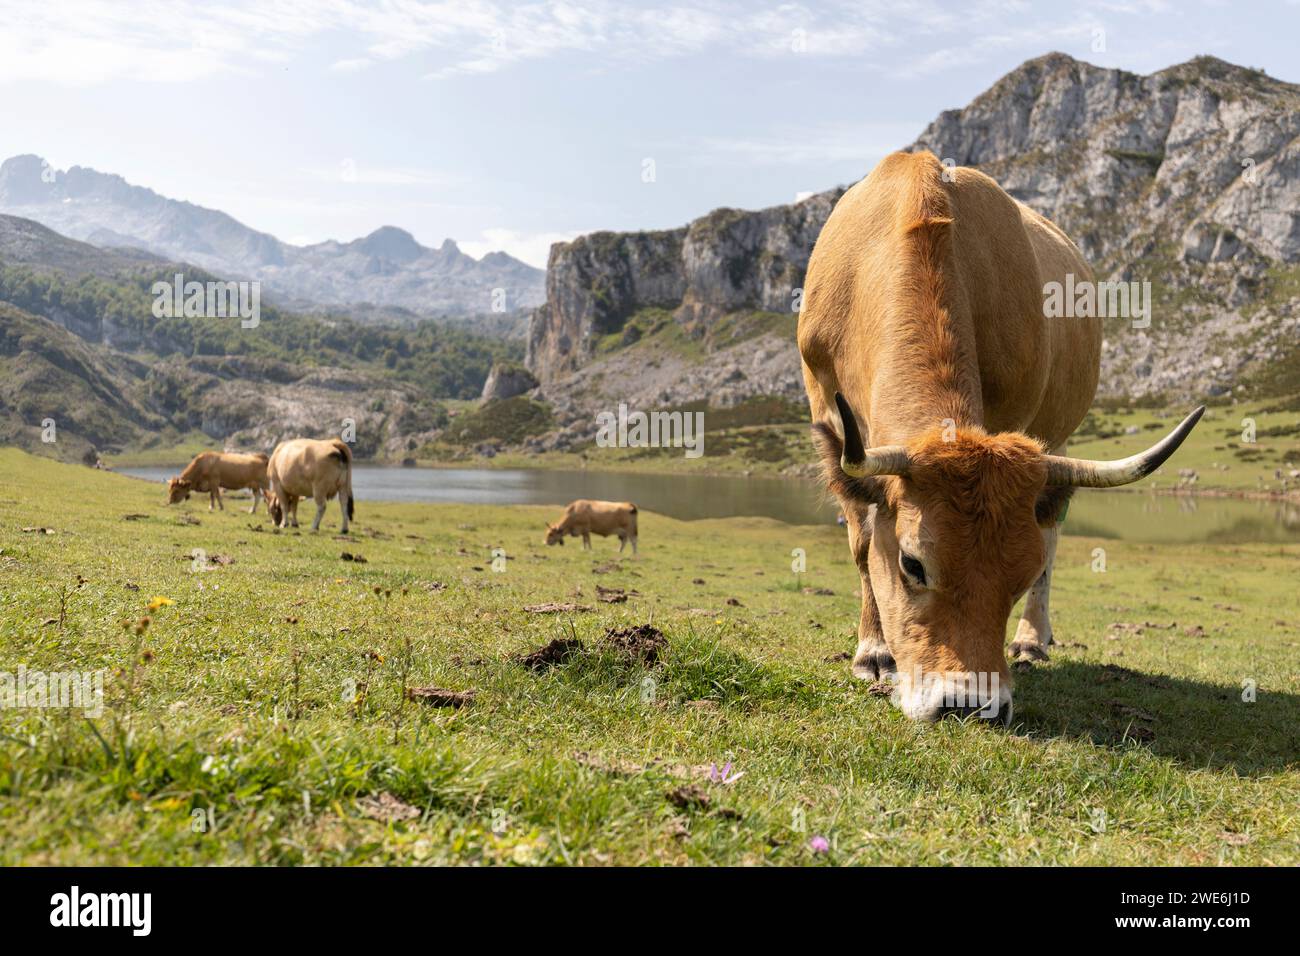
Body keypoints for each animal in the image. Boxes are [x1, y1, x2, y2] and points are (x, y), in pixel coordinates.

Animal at [798, 150, 1201, 724]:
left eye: (1017, 576)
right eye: (912, 564)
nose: (968, 704)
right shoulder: (828, 413)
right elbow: (860, 539)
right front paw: (873, 652)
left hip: (1058, 443)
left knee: (1052, 529)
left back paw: (1032, 641)